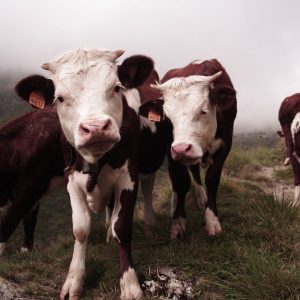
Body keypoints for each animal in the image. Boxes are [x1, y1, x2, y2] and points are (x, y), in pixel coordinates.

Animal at [15, 48, 155, 300]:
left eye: (116, 88)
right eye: (60, 98)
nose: (96, 128)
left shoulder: (129, 176)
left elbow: (122, 227)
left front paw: (130, 284)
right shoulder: (71, 179)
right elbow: (80, 230)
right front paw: (74, 280)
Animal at [140, 58, 237, 237]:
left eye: (203, 111)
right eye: (166, 117)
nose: (182, 149)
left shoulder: (225, 143)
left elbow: (212, 178)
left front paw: (212, 220)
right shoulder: (171, 149)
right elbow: (180, 181)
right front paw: (178, 222)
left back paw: (201, 197)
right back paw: (175, 204)